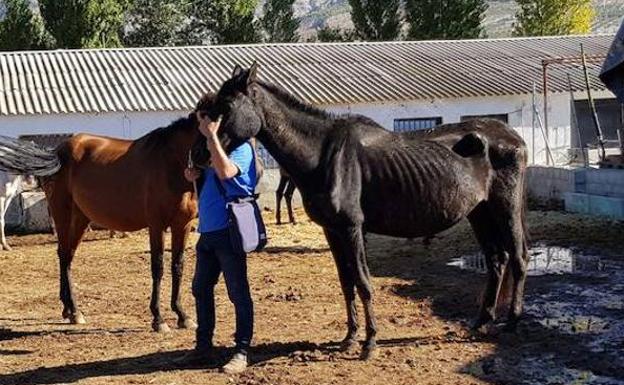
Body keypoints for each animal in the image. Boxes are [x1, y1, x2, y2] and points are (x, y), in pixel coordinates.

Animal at [0, 95, 214, 330]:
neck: (171, 162)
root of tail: (56, 153)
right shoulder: (156, 225)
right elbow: (158, 267)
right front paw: (158, 319)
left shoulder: (182, 225)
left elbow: (178, 266)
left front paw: (182, 315)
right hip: (62, 212)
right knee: (64, 255)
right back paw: (75, 311)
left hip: (80, 218)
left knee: (67, 255)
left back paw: (69, 310)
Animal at [206, 63, 532, 360]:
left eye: (226, 106)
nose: (202, 155)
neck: (323, 156)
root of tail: (512, 137)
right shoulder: (333, 231)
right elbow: (346, 283)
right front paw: (350, 338)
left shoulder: (352, 228)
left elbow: (363, 282)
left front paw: (370, 343)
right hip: (480, 212)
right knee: (496, 260)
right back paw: (481, 321)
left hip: (505, 207)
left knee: (518, 258)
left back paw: (512, 323)